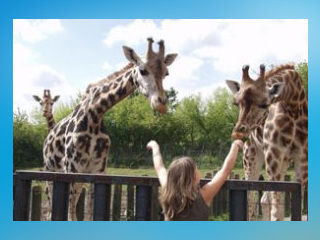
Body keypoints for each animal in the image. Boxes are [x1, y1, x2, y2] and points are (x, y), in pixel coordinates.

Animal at [42, 38, 178, 220]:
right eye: (142, 70)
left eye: (166, 73)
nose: (161, 103)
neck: (94, 115)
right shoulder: (70, 167)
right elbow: (70, 213)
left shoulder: (98, 170)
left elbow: (91, 211)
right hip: (51, 171)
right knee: (52, 204)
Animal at [225, 64, 308, 221]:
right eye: (236, 103)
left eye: (264, 104)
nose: (238, 134)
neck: (295, 106)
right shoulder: (273, 154)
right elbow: (276, 208)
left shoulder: (303, 159)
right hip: (252, 158)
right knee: (251, 199)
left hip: (283, 161)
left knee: (265, 199)